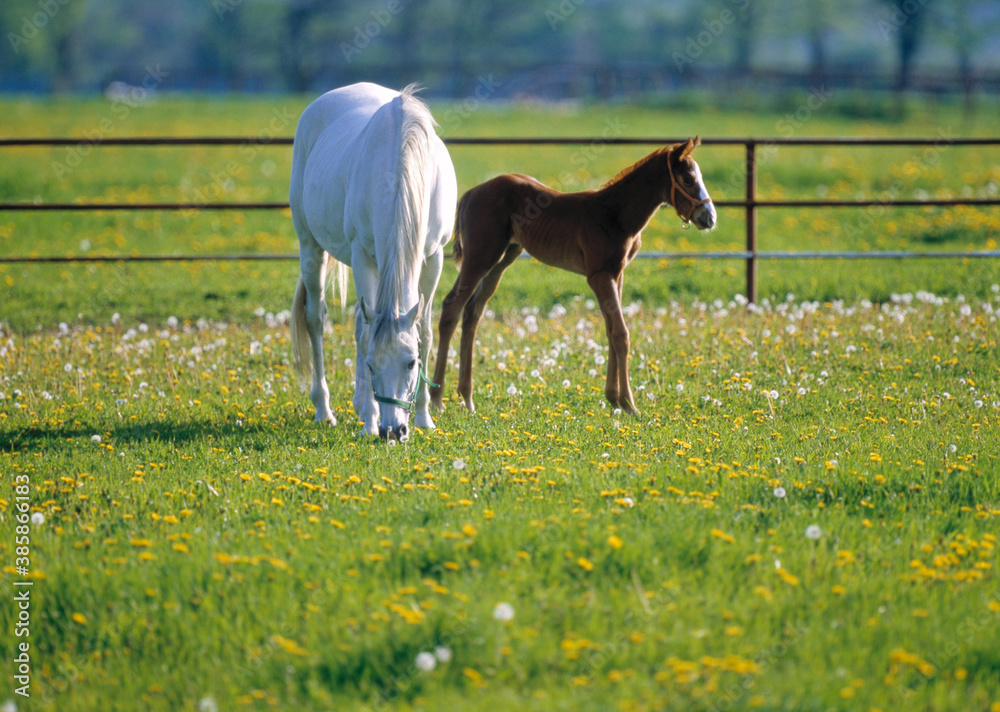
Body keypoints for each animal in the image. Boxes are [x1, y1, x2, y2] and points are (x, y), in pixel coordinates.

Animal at [290, 83, 458, 440]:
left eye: (412, 362)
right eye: (371, 364)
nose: (393, 430)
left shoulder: (434, 256)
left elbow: (425, 329)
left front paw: (424, 416)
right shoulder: (361, 255)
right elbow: (367, 336)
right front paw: (369, 420)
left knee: (358, 318)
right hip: (310, 246)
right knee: (315, 319)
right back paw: (324, 409)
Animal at [434, 138, 716, 414]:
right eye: (688, 179)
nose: (709, 218)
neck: (614, 214)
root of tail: (472, 192)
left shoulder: (617, 274)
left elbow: (610, 329)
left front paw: (614, 399)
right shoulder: (599, 275)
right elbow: (620, 333)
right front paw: (630, 405)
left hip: (504, 257)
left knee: (473, 311)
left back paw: (467, 399)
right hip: (480, 257)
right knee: (451, 307)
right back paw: (436, 399)